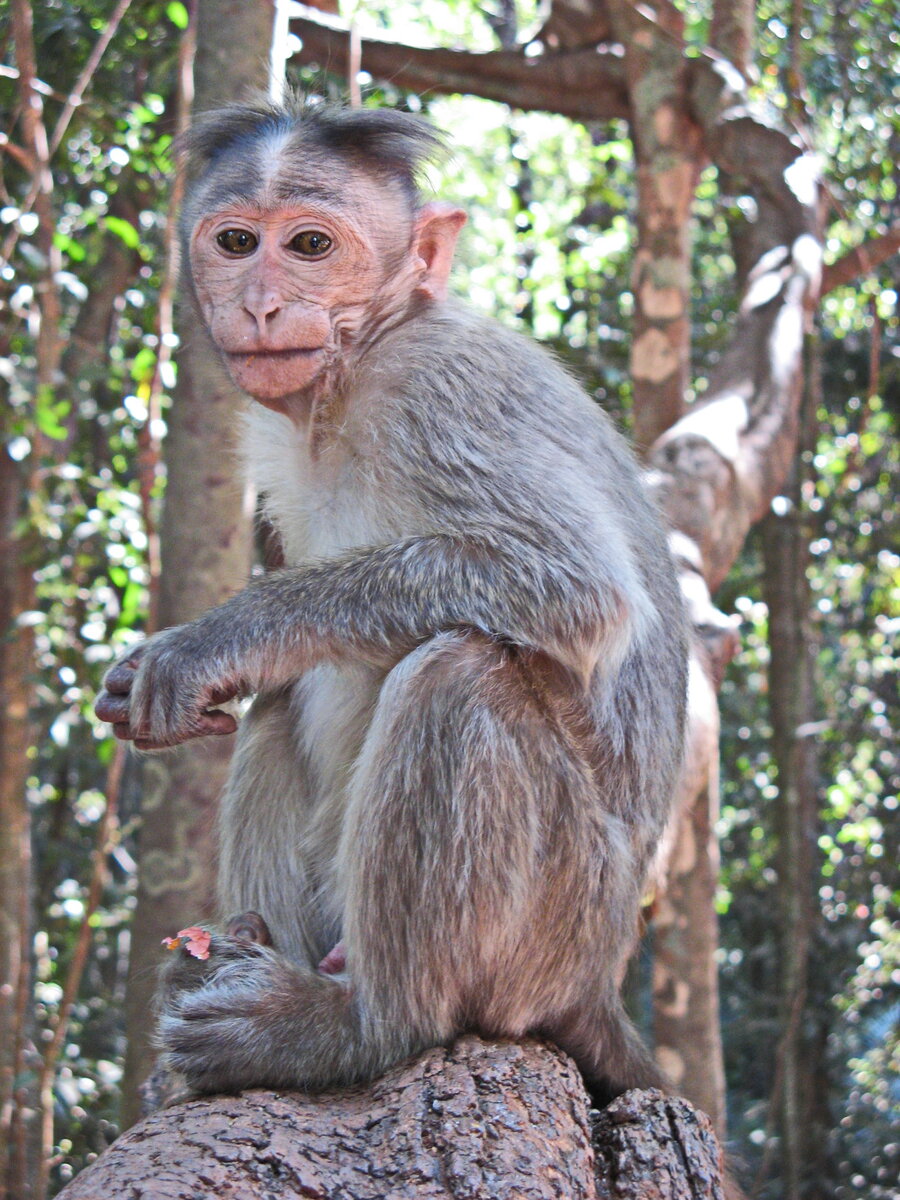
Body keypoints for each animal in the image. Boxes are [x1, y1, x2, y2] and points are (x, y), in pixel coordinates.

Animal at [95, 100, 691, 1104]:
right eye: (235, 241)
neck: (354, 366)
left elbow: (577, 585)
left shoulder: (437, 390)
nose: (261, 304)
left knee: (460, 671)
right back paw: (239, 962)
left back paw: (356, 1029)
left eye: (309, 244)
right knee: (286, 697)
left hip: (556, 927)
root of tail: (599, 983)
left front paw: (210, 641)